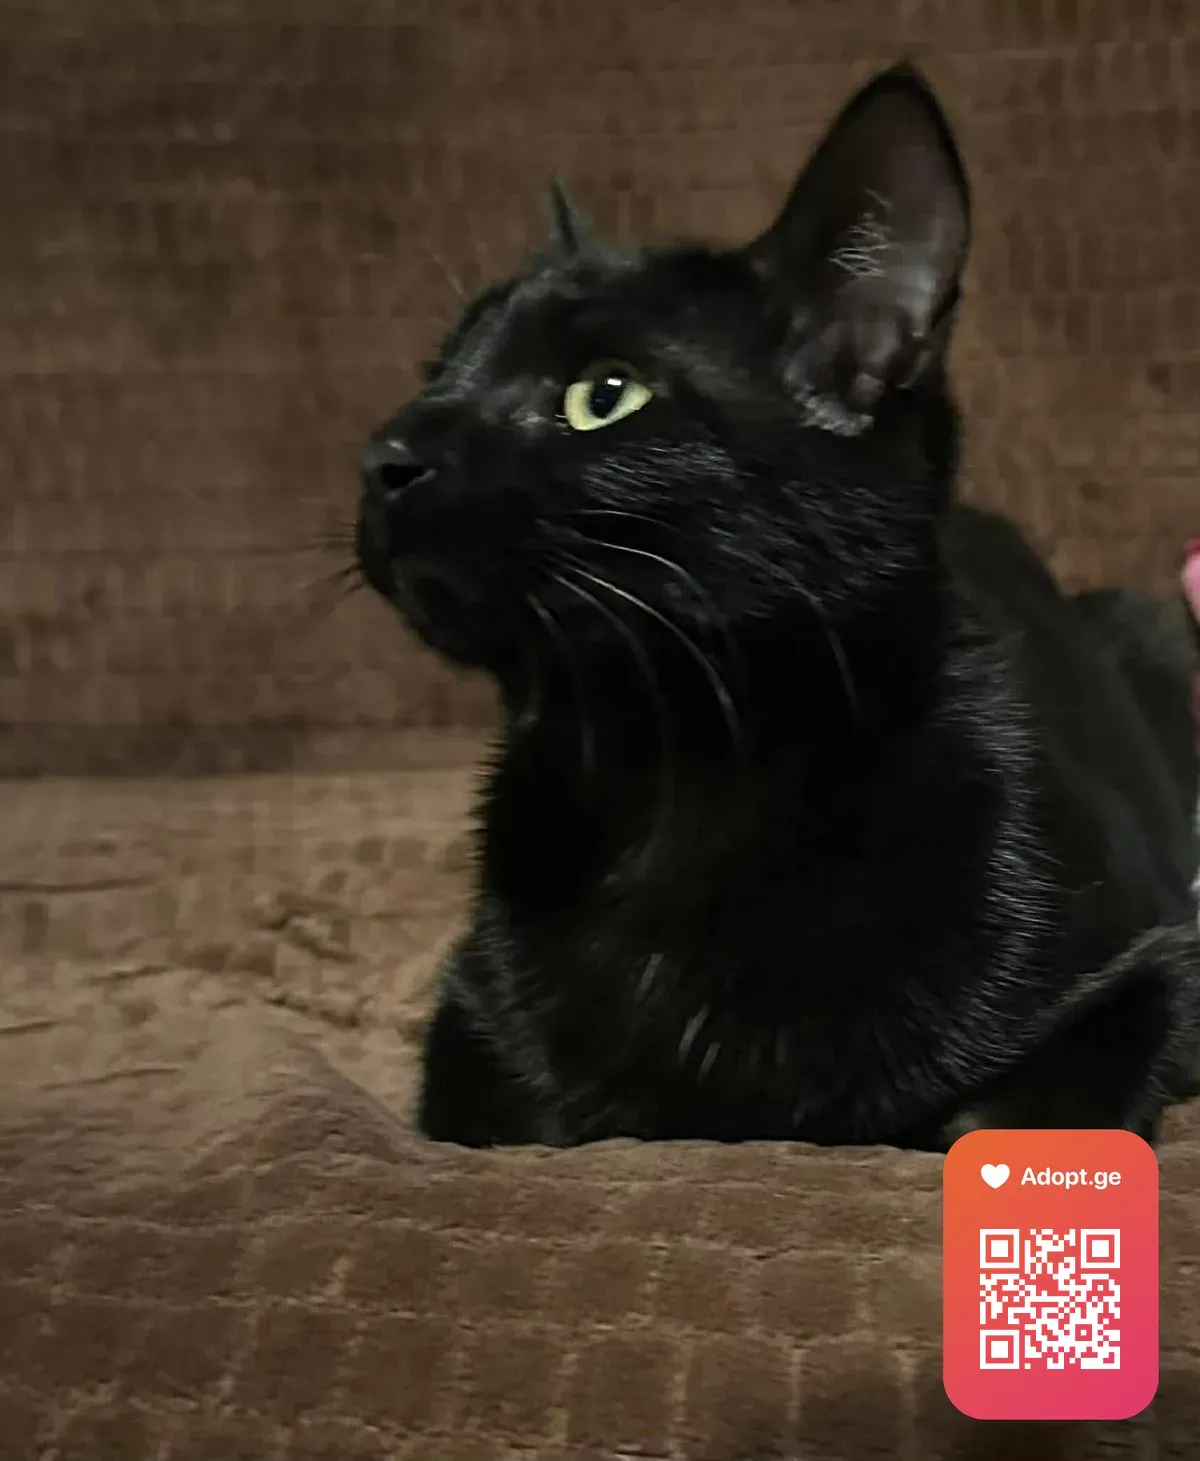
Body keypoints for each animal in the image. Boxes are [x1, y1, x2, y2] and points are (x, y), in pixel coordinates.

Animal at [355, 63, 1200, 1150]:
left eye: (604, 394)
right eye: (438, 374)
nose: (384, 457)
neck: (683, 775)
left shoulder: (1153, 964)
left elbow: (1017, 1117)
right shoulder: (471, 1021)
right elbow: (505, 1115)